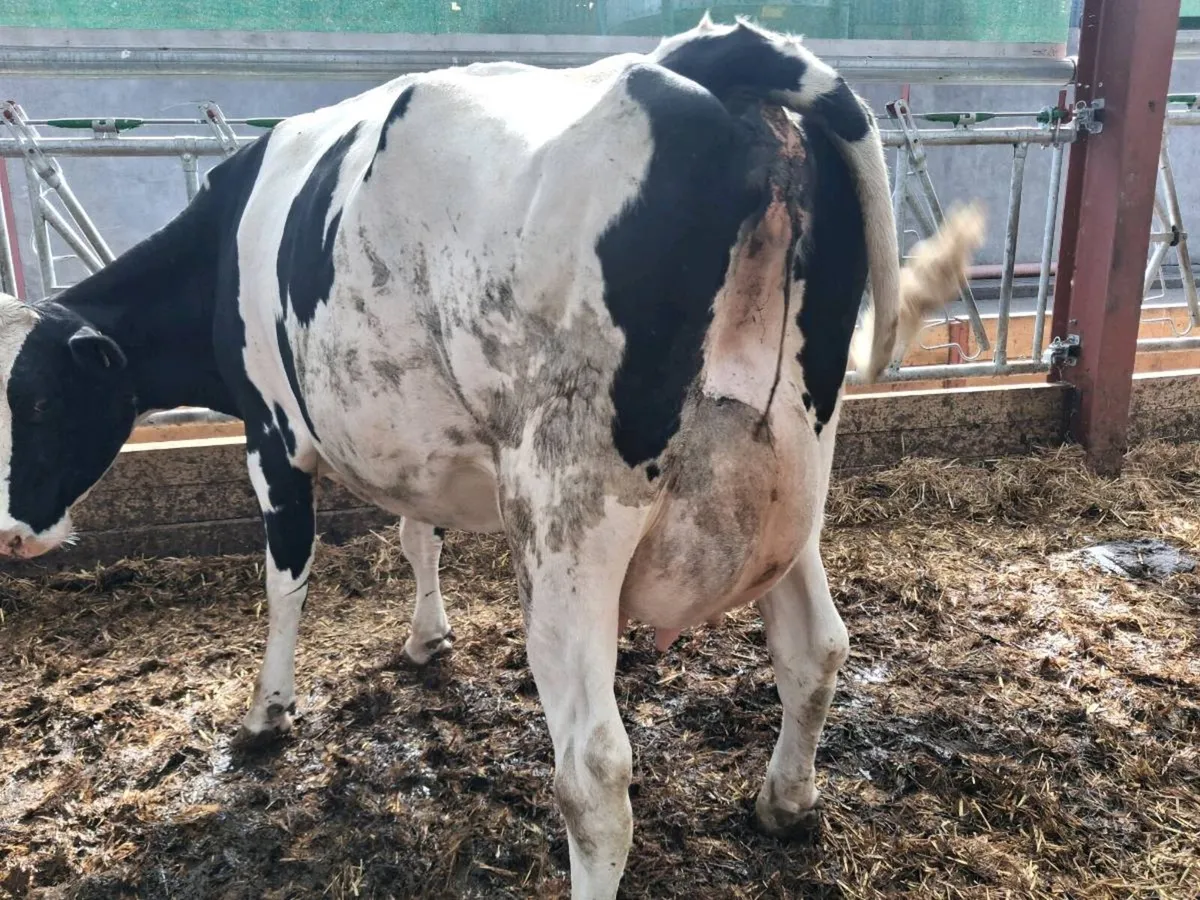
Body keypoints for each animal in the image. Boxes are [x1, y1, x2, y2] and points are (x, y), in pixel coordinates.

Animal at [0, 16, 983, 898]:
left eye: (39, 401)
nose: (12, 534)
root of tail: (712, 58)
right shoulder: (416, 440)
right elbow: (416, 534)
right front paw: (426, 637)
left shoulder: (273, 435)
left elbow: (285, 579)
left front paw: (265, 713)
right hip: (791, 478)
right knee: (816, 649)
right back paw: (784, 803)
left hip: (566, 515)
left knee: (593, 767)